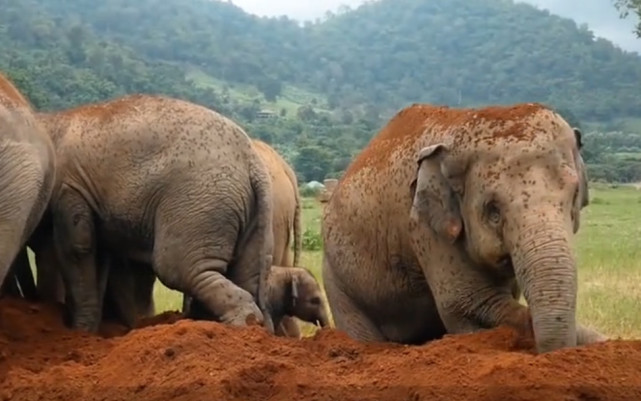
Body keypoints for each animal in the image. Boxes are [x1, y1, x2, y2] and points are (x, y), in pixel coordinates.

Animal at [30, 93, 276, 332]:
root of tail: (252, 162)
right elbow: (100, 253)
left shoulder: (70, 186)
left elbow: (77, 247)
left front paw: (80, 332)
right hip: (247, 214)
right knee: (245, 275)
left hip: (201, 203)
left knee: (178, 267)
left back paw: (240, 325)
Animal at [322, 102, 608, 354]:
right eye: (493, 211)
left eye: (574, 196)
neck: (461, 122)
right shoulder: (424, 229)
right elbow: (467, 300)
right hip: (338, 281)